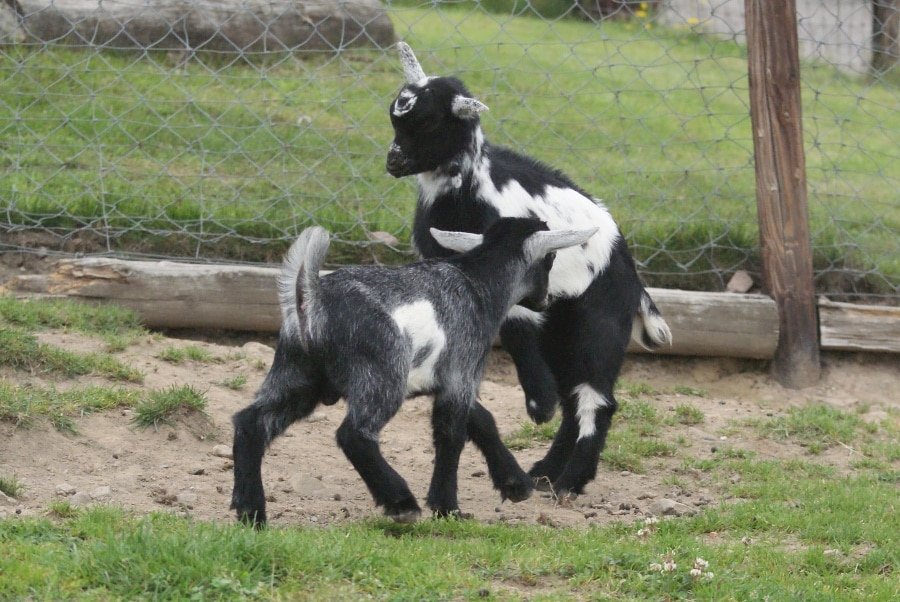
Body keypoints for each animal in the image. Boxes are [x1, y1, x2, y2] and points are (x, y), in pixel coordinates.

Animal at [231, 218, 597, 525]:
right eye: (550, 259)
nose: (547, 301)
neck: (477, 285)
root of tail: (312, 300)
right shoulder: (462, 370)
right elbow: (451, 435)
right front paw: (447, 507)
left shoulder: (451, 379)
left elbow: (483, 421)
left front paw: (515, 485)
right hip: (382, 374)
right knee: (354, 434)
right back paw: (401, 503)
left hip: (295, 374)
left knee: (251, 422)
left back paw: (251, 512)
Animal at [385, 42, 672, 497]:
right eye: (394, 114)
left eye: (429, 120)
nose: (393, 161)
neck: (472, 188)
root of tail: (630, 272)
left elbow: (518, 322)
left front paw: (539, 405)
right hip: (563, 328)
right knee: (576, 398)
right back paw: (546, 472)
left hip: (598, 319)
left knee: (597, 397)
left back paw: (572, 479)